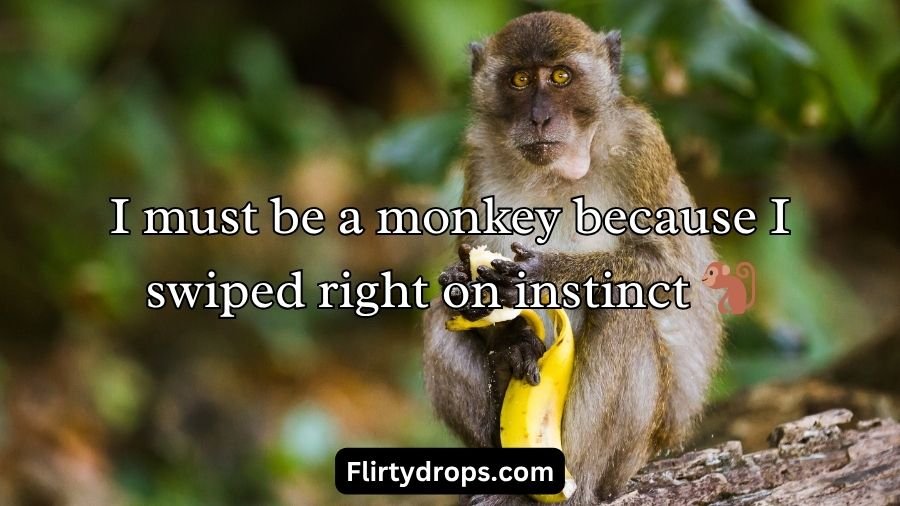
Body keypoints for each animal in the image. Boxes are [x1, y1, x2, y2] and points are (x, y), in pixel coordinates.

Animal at [422, 12, 723, 504]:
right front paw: (509, 334)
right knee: (439, 316)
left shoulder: (640, 144)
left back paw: (575, 485)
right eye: (521, 79)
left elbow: (673, 275)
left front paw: (546, 273)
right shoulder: (480, 158)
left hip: (641, 447)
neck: (555, 173)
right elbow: (464, 275)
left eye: (561, 77)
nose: (540, 117)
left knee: (625, 314)